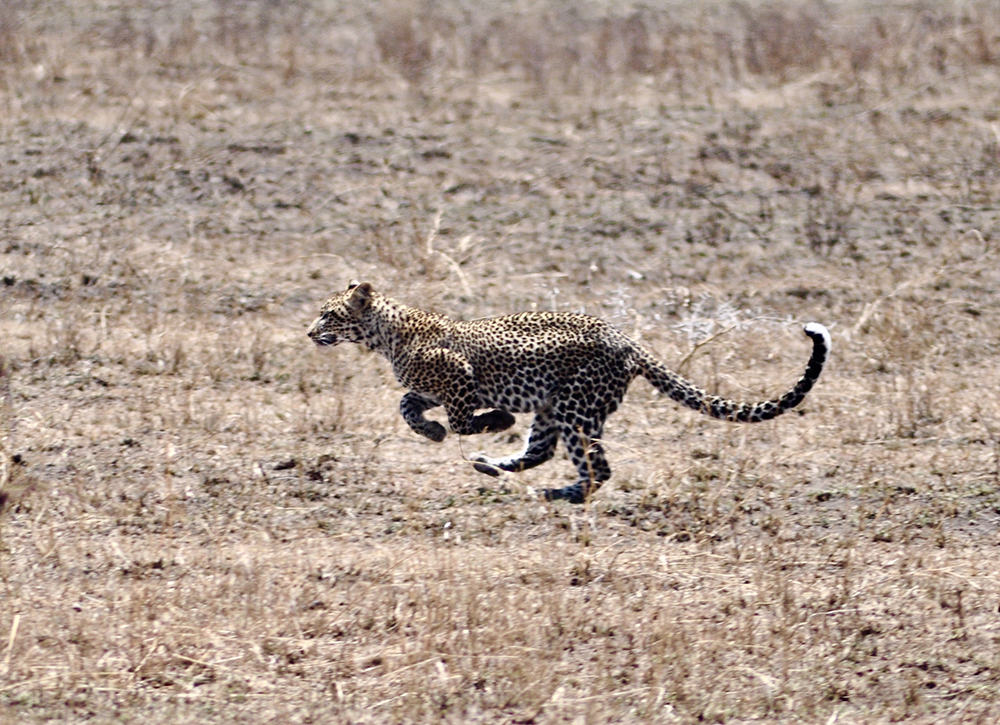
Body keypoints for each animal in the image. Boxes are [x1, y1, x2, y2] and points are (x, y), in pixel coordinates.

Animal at [308, 281, 831, 504]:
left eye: (329, 314)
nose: (310, 332)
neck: (385, 335)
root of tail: (627, 341)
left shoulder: (459, 378)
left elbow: (461, 417)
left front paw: (493, 421)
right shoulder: (430, 390)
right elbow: (407, 407)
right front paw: (434, 433)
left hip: (576, 407)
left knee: (597, 468)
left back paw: (555, 492)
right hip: (554, 407)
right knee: (541, 452)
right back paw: (493, 467)